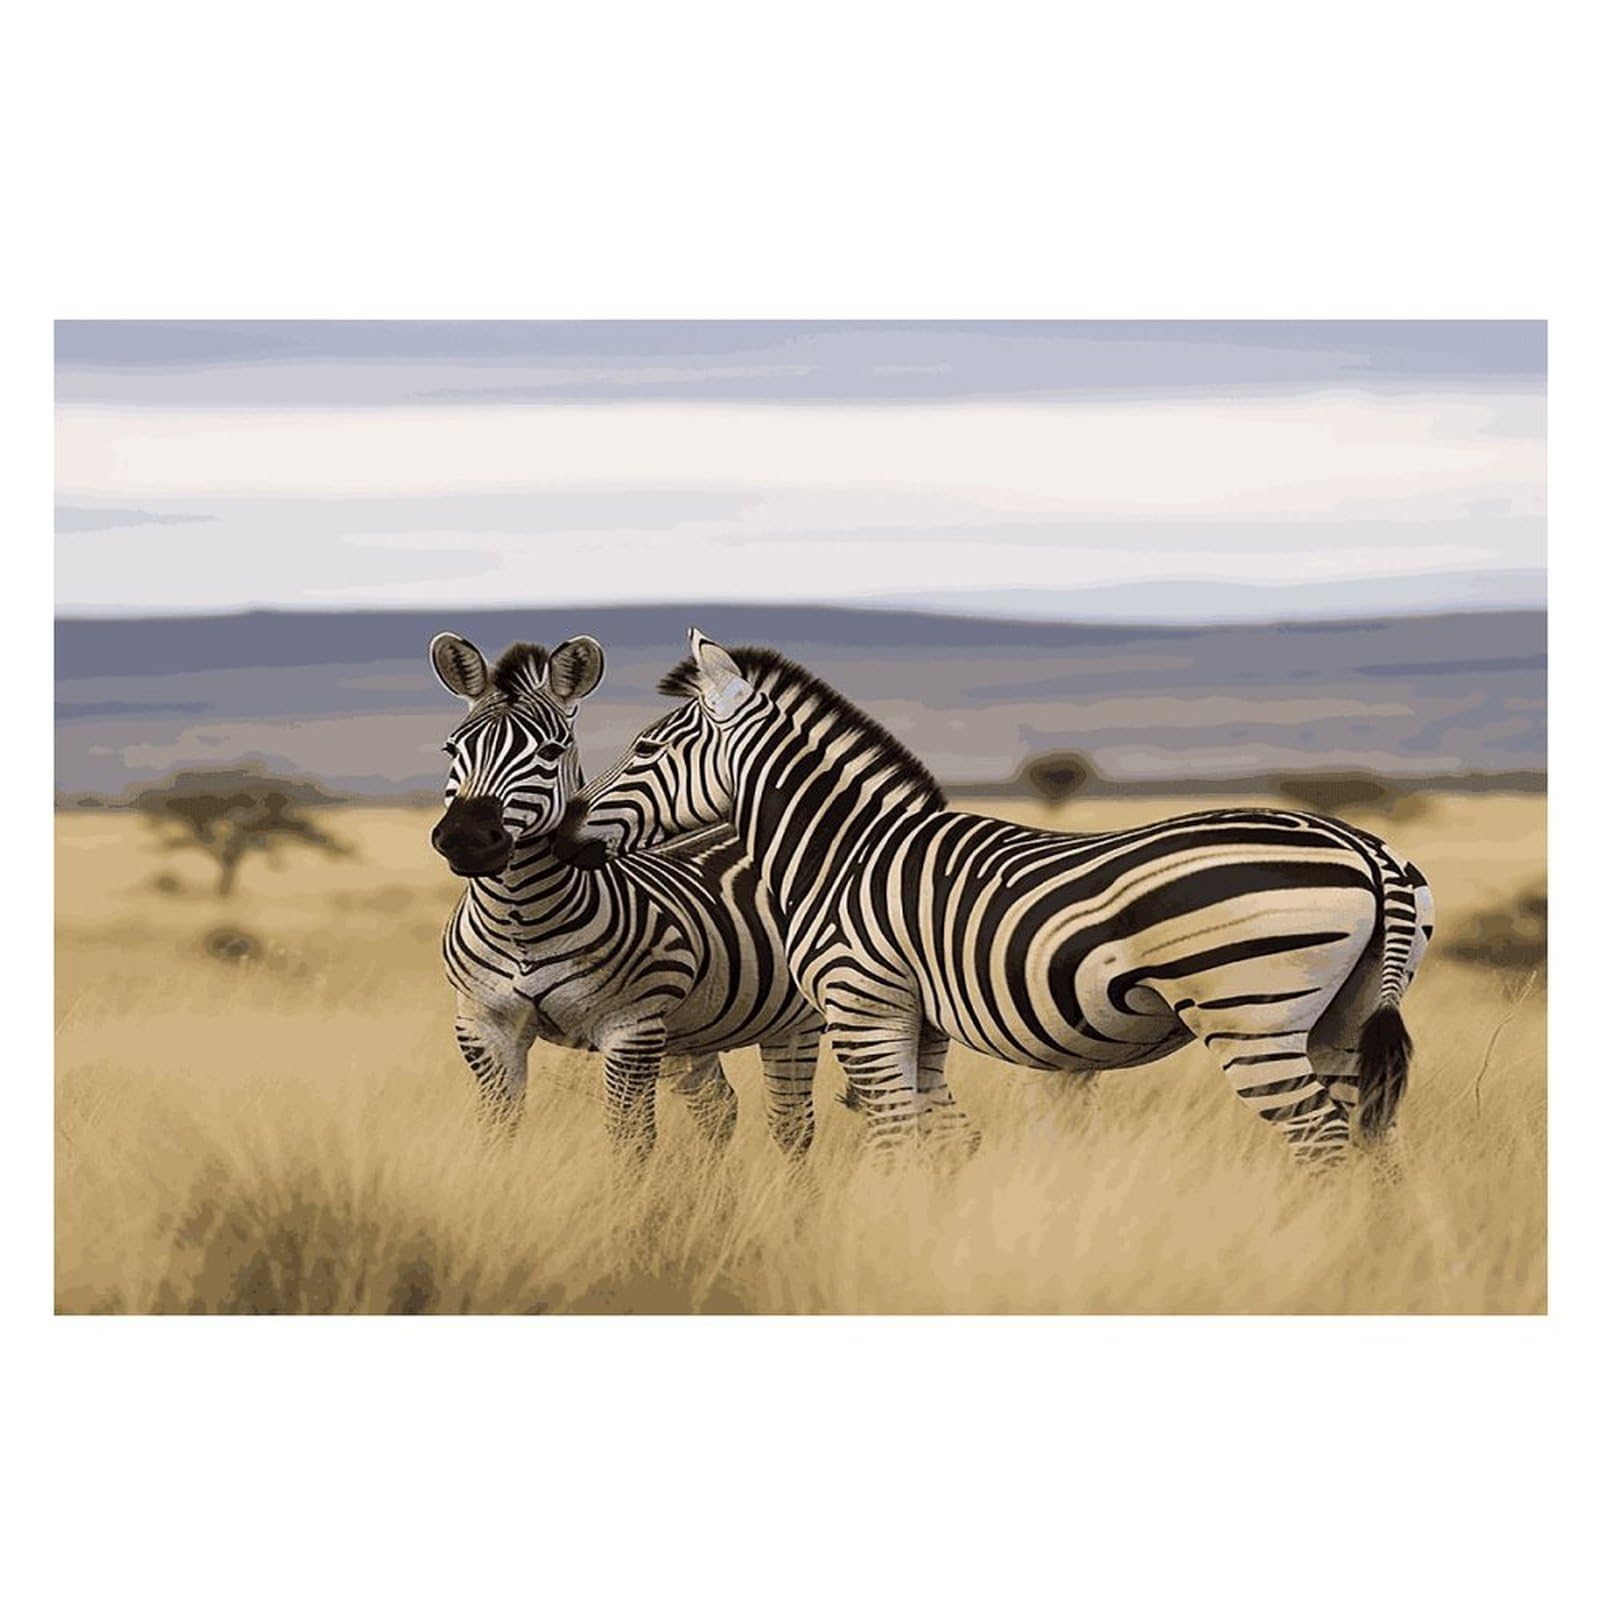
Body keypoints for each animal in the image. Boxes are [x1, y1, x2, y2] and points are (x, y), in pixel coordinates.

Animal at [428, 630, 825, 1158]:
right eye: (452, 749)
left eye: (549, 753)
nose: (467, 839)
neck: (521, 920)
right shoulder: (483, 1028)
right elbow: (497, 1132)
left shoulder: (630, 1030)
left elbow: (630, 1141)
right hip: (690, 1034)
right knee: (719, 1109)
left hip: (794, 1025)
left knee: (792, 1126)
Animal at [558, 630, 1435, 1171]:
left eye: (646, 747)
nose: (564, 832)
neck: (843, 853)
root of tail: (1368, 848)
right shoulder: (923, 1023)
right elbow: (942, 1139)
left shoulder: (863, 1007)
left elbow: (893, 1141)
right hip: (1342, 1020)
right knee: (1374, 1145)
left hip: (1249, 1013)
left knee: (1323, 1143)